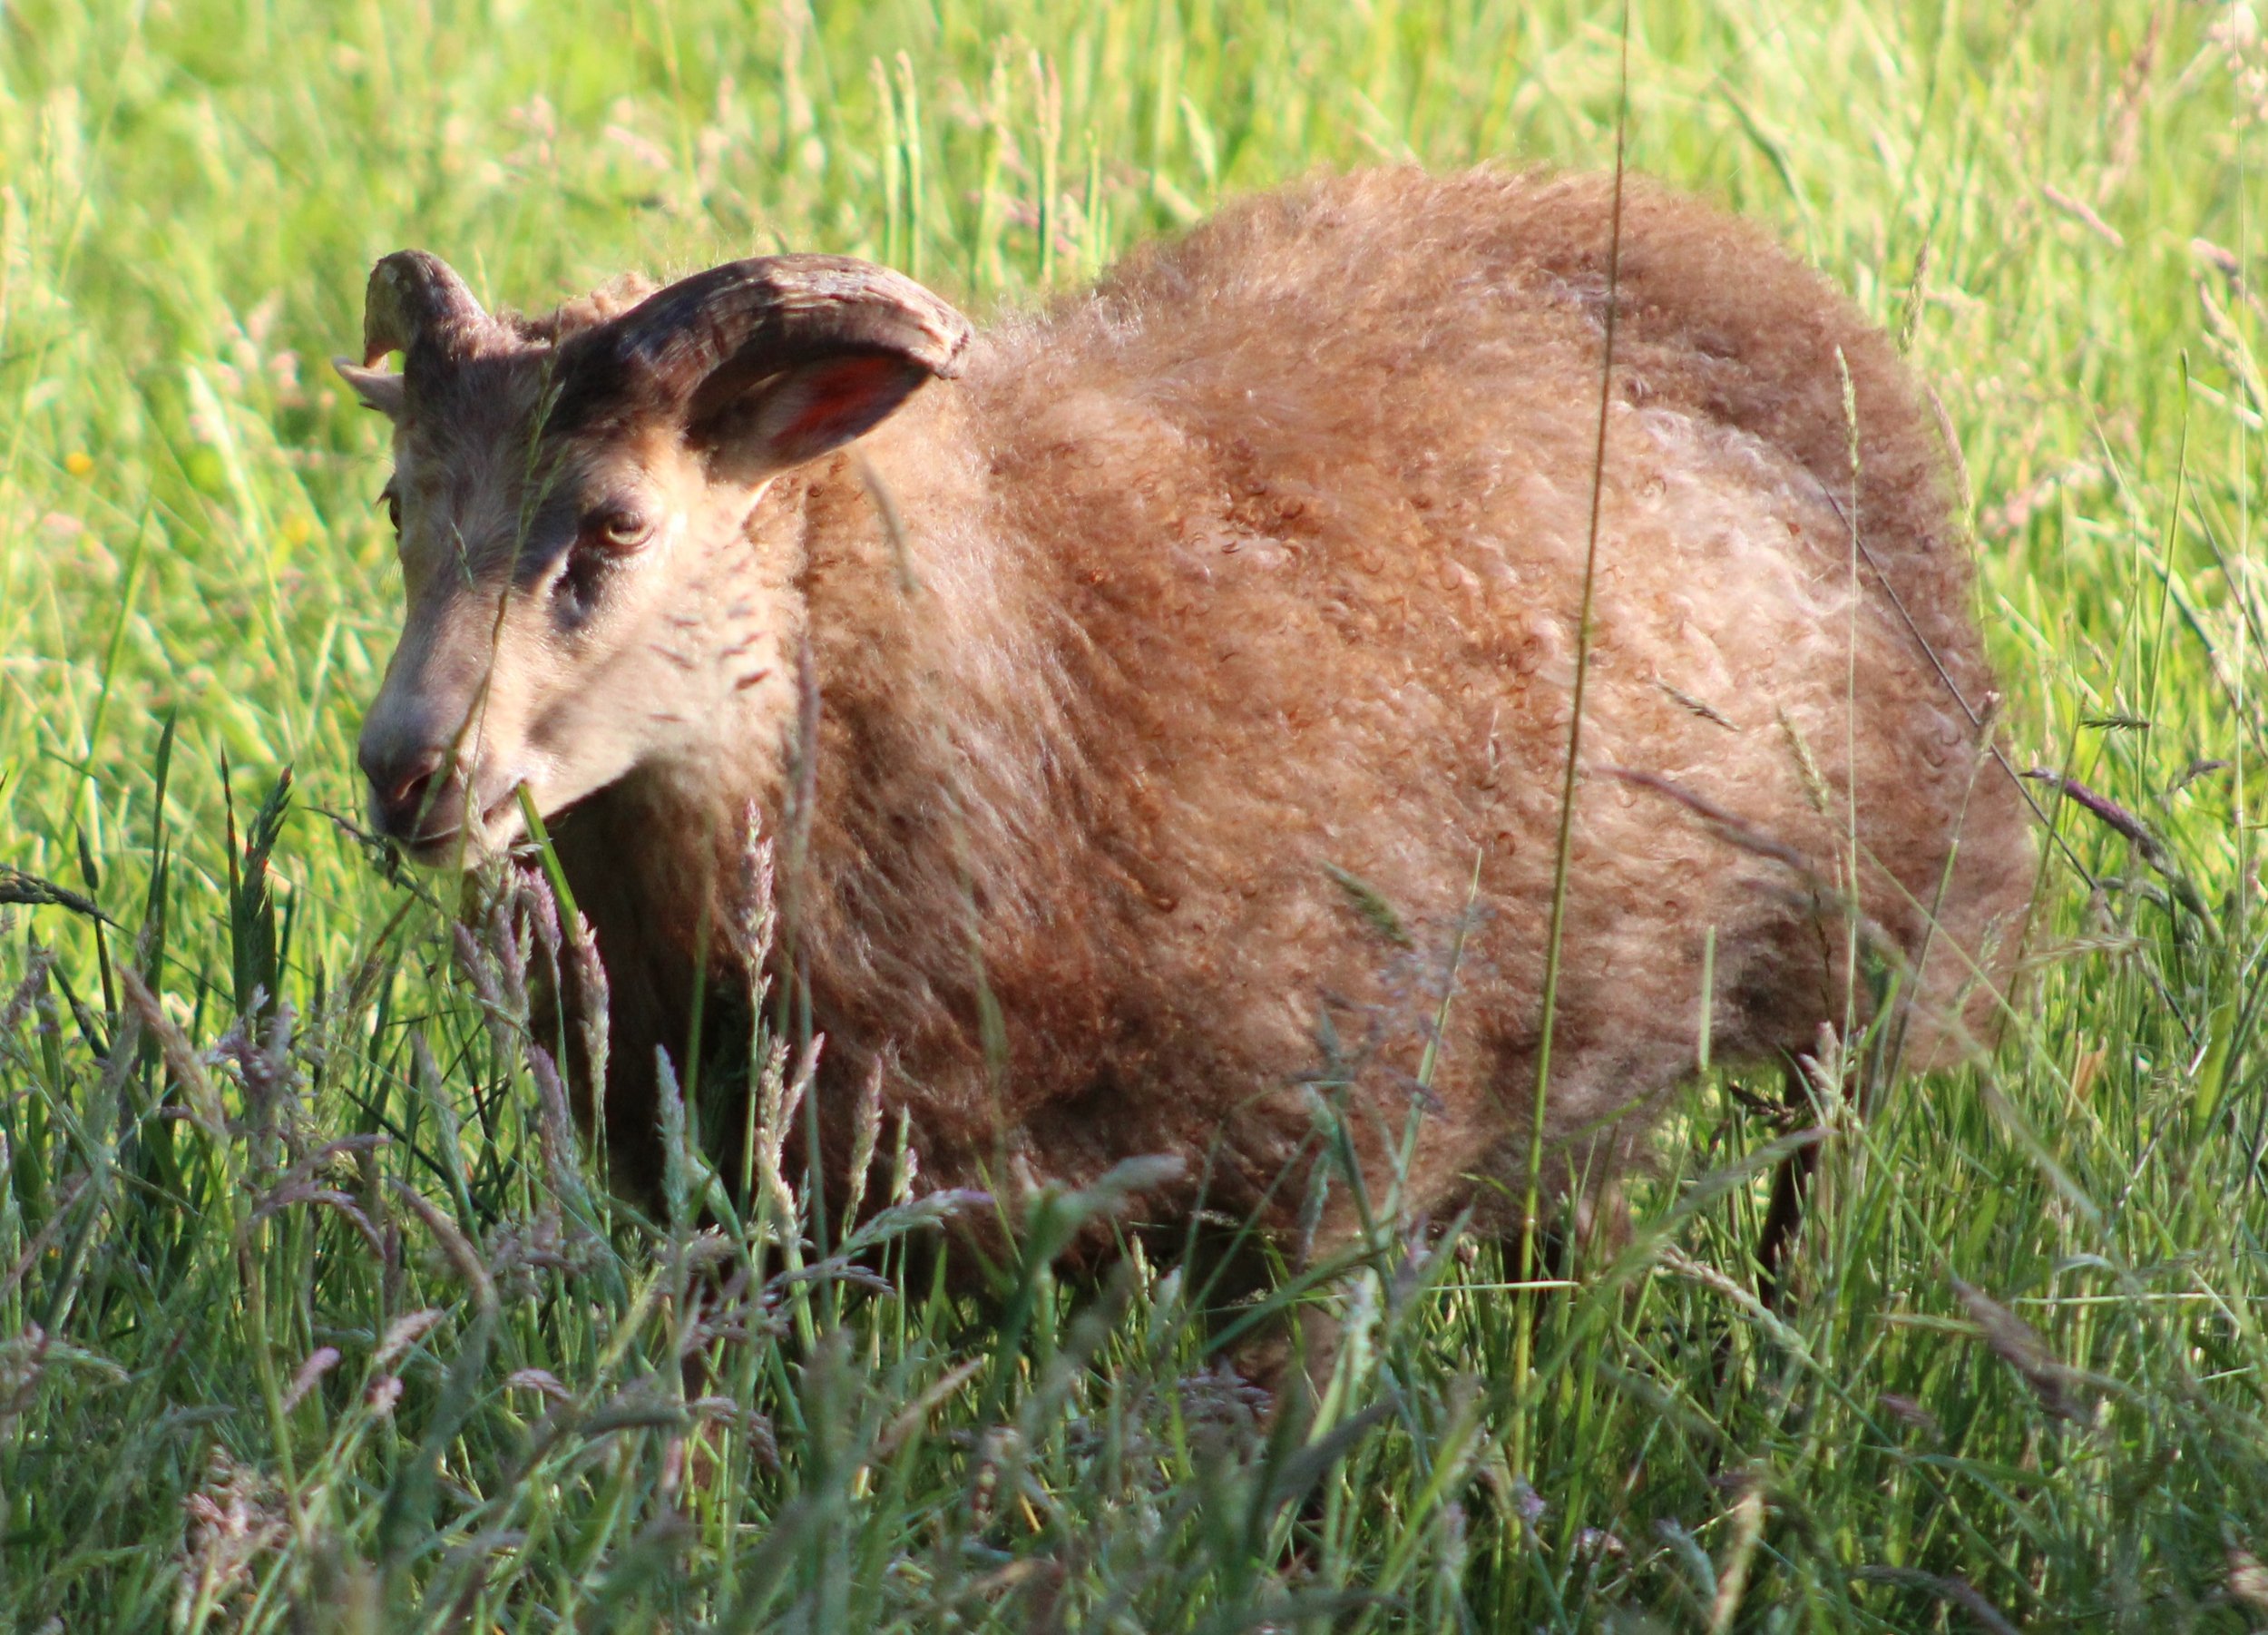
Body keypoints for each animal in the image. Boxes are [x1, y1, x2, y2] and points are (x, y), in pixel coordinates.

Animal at [337, 166, 2032, 1291]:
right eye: (397, 506)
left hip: (1867, 946)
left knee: (1814, 1168)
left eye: (616, 524)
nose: (406, 773)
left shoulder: (1332, 1158)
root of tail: (1711, 238)